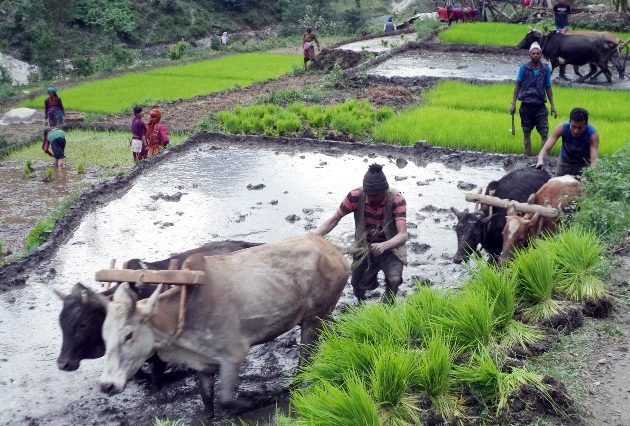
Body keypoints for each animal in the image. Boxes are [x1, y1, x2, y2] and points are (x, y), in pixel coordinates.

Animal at [101, 233, 354, 416]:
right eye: (106, 335)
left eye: (128, 335)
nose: (106, 385)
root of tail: (334, 249)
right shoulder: (203, 364)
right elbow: (207, 402)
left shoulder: (233, 355)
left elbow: (226, 401)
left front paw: (259, 399)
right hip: (320, 317)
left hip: (314, 319)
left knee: (304, 361)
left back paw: (291, 386)